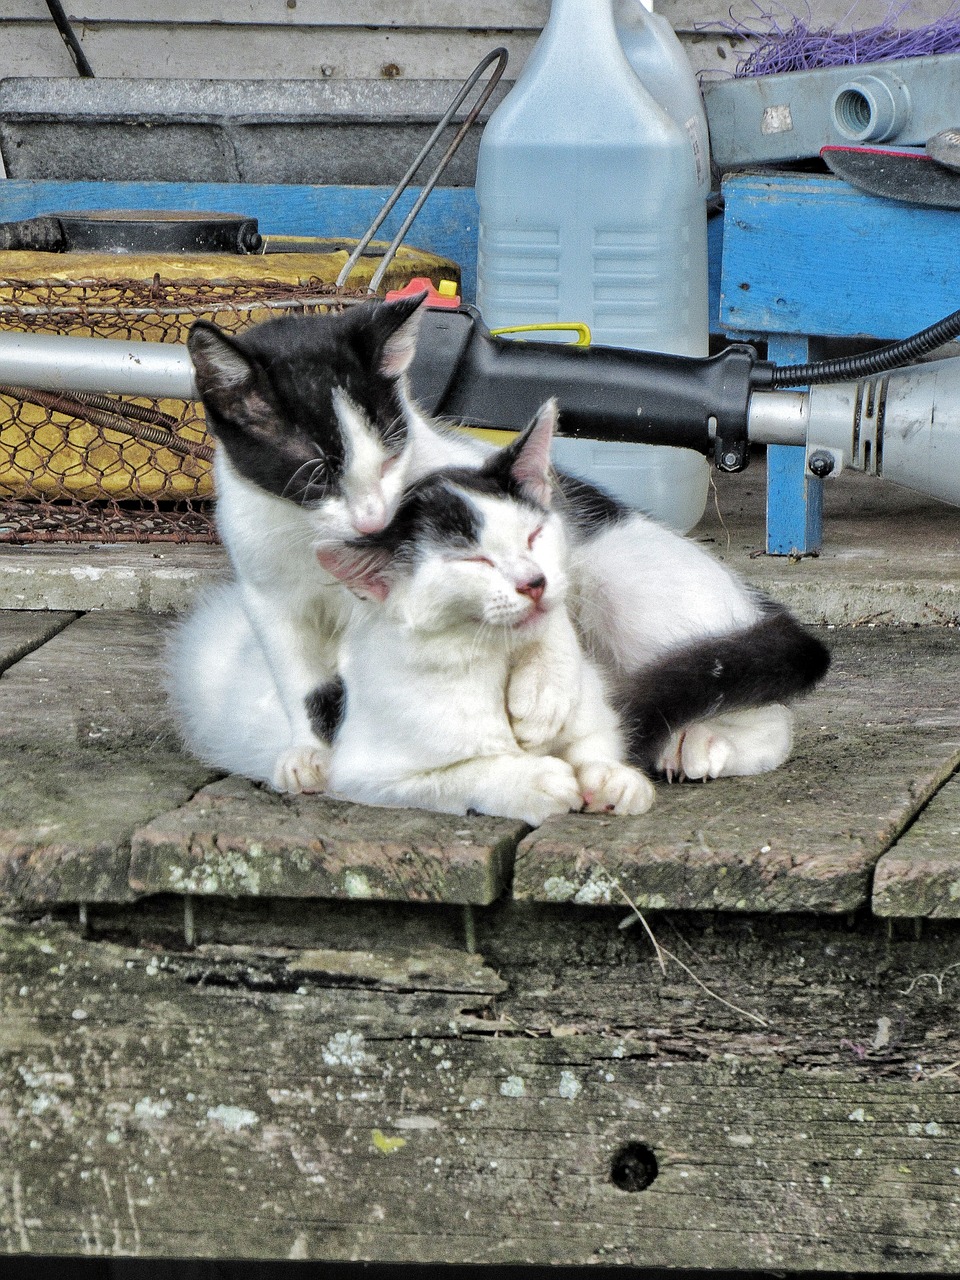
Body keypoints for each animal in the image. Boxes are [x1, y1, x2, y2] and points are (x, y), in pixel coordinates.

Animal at [168, 294, 829, 824]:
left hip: (635, 584)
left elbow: (548, 615)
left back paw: (699, 742)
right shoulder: (268, 590)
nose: (375, 520)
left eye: (390, 457)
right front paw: (310, 752)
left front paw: (541, 697)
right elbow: (300, 679)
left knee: (754, 703)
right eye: (316, 475)